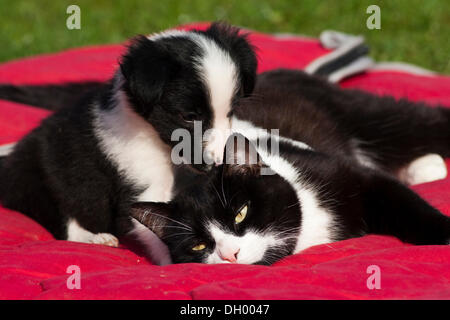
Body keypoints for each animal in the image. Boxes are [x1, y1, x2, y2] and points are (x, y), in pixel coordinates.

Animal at [0, 21, 256, 264]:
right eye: (189, 116)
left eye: (230, 112)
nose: (220, 162)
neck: (163, 147)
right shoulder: (143, 186)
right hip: (44, 182)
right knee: (67, 222)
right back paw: (95, 238)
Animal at [129, 69, 450, 264]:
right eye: (197, 245)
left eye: (241, 213)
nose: (230, 254)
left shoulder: (350, 175)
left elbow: (399, 199)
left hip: (363, 114)